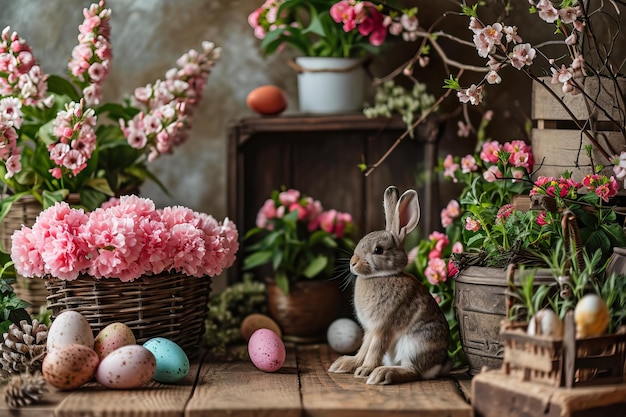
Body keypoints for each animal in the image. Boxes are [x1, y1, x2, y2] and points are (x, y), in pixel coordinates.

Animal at [326, 185, 448, 384]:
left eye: (378, 250)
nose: (353, 263)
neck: (380, 276)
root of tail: (439, 366)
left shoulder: (384, 327)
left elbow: (374, 350)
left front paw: (365, 369)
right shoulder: (370, 329)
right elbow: (364, 348)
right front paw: (348, 364)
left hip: (415, 344)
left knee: (412, 371)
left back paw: (382, 374)